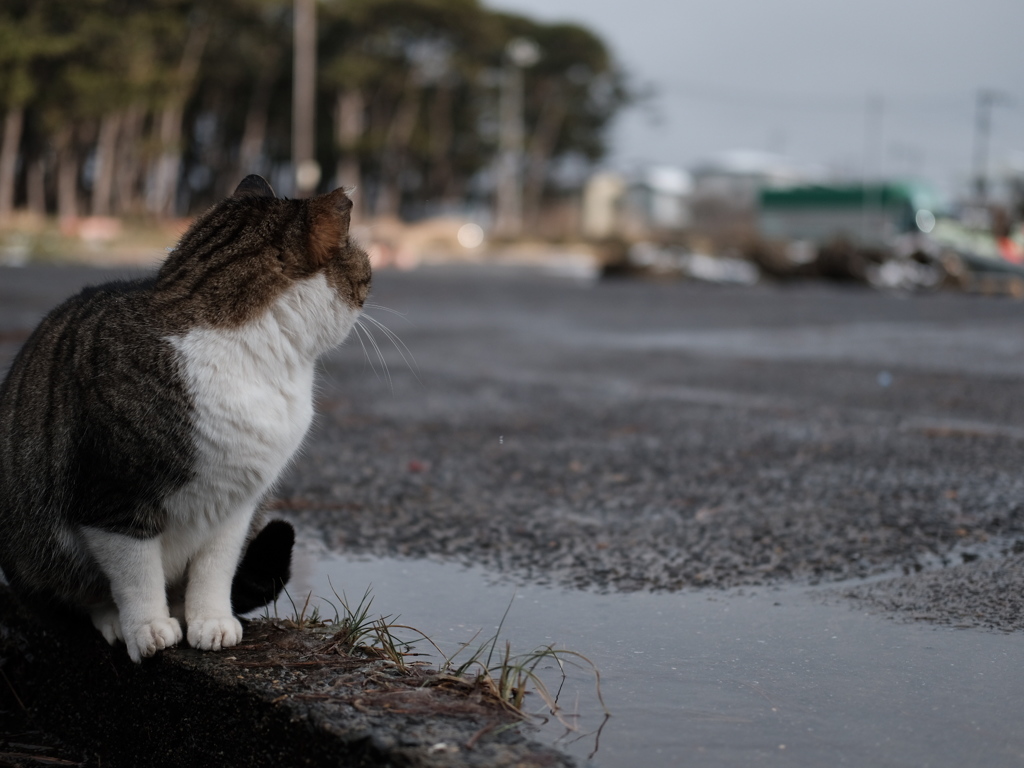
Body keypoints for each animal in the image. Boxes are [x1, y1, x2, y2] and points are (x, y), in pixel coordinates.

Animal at [0, 174, 368, 663]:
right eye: (365, 267)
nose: (371, 283)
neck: (251, 359)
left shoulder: (237, 503)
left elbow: (216, 567)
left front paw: (210, 621)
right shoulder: (113, 498)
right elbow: (136, 574)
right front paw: (148, 628)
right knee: (82, 594)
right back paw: (116, 620)